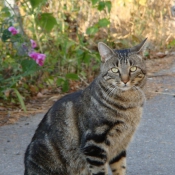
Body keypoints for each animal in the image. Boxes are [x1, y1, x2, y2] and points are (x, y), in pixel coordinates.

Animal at [24, 38, 148, 175]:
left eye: (133, 68)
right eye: (115, 70)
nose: (125, 80)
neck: (129, 102)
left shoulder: (120, 146)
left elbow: (120, 169)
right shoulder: (94, 146)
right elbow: (100, 172)